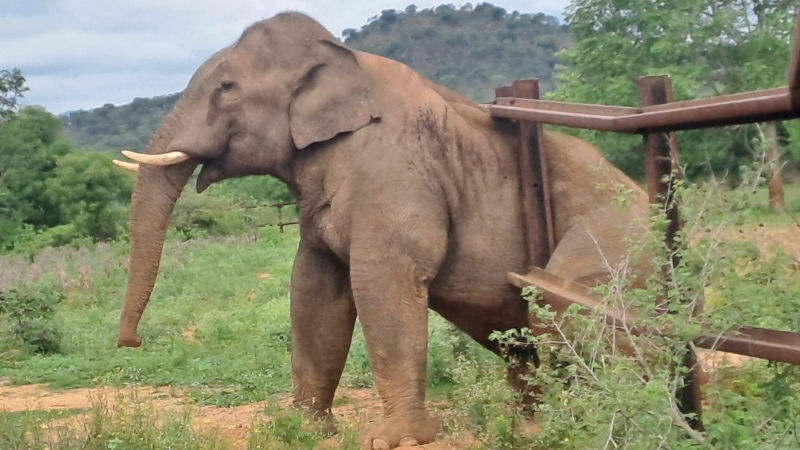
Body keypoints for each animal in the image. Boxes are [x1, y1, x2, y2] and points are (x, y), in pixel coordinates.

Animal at [113, 12, 653, 450]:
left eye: (226, 86)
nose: (131, 343)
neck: (344, 59)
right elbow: (314, 288)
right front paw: (300, 430)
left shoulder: (393, 170)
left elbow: (382, 278)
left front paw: (393, 440)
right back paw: (533, 426)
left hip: (613, 241)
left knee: (561, 313)